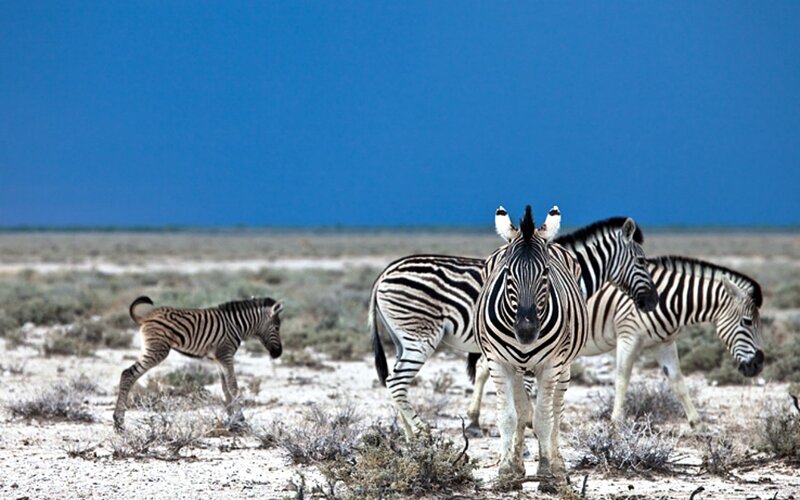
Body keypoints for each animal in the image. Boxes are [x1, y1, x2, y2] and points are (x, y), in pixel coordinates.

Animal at [113, 295, 284, 432]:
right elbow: (233, 386)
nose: (278, 353)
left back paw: (118, 422)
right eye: (277, 328)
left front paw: (231, 418)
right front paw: (240, 419)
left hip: (150, 349)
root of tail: (146, 317)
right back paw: (119, 423)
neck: (236, 325)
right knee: (128, 374)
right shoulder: (226, 354)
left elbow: (225, 388)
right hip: (157, 350)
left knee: (127, 374)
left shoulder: (218, 359)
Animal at [370, 210, 658, 438]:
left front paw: (476, 421)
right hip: (420, 335)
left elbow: (485, 373)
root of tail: (383, 273)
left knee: (395, 382)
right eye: (642, 261)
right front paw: (526, 425)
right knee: (397, 381)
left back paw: (411, 438)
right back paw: (422, 433)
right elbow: (522, 389)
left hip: (402, 338)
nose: (652, 302)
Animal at [467, 255, 764, 429]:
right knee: (485, 368)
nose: (758, 366)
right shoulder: (628, 335)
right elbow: (622, 377)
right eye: (747, 322)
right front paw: (616, 421)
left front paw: (698, 423)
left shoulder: (664, 342)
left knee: (484, 368)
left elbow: (678, 381)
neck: (670, 299)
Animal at [474, 204, 587, 489]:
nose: (525, 332)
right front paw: (506, 471)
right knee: (522, 411)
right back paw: (517, 465)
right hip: (516, 369)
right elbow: (510, 417)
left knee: (556, 410)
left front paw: (546, 472)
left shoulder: (552, 364)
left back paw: (557, 466)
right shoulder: (498, 362)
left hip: (565, 367)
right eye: (507, 273)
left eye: (545, 272)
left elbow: (544, 419)